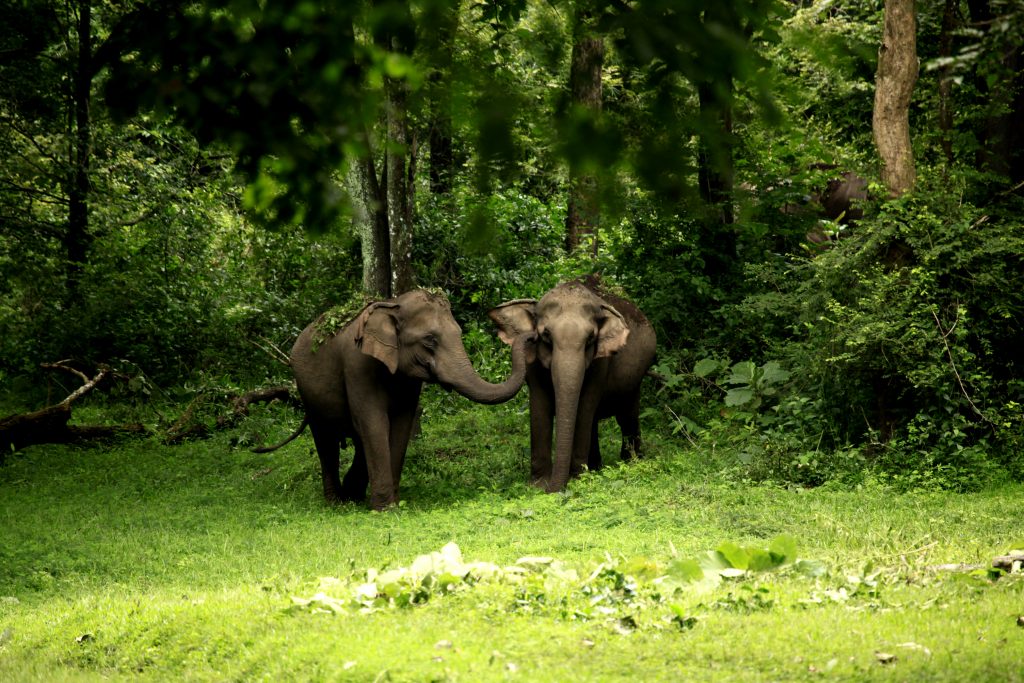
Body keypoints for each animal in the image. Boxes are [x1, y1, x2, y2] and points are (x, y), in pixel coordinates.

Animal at [256, 290, 536, 511]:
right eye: (430, 340)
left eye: (459, 333)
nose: (531, 336)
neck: (393, 305)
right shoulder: (357, 365)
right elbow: (372, 422)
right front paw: (385, 509)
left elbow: (400, 425)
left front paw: (393, 502)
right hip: (307, 391)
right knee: (326, 440)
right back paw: (337, 502)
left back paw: (353, 495)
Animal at [487, 274, 655, 493]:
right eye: (546, 334)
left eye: (591, 337)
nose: (556, 489)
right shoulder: (532, 362)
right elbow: (540, 407)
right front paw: (538, 485)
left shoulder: (601, 362)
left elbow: (584, 407)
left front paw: (577, 480)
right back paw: (596, 466)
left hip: (636, 379)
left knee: (627, 416)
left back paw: (630, 462)